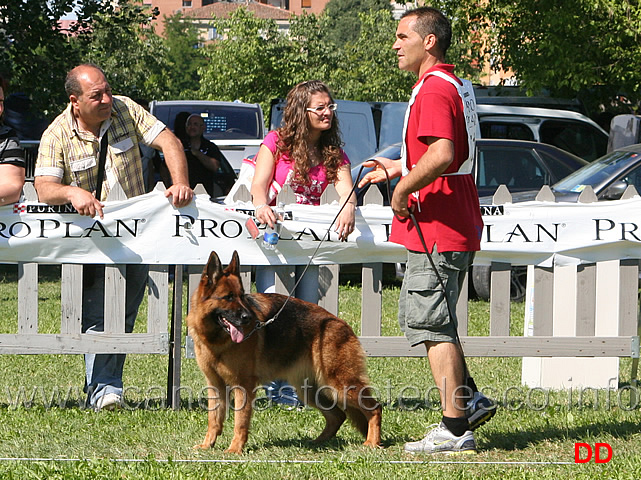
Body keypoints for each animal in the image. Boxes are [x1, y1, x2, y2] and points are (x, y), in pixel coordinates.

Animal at [188, 251, 382, 454]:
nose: (248, 318)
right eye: (228, 297)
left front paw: (235, 449)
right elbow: (213, 420)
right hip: (311, 390)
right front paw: (207, 445)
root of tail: (342, 324)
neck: (217, 341)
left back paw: (372, 442)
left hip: (340, 385)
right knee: (337, 416)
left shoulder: (243, 386)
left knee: (375, 408)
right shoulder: (215, 386)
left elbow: (240, 422)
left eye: (242, 296)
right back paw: (318, 442)